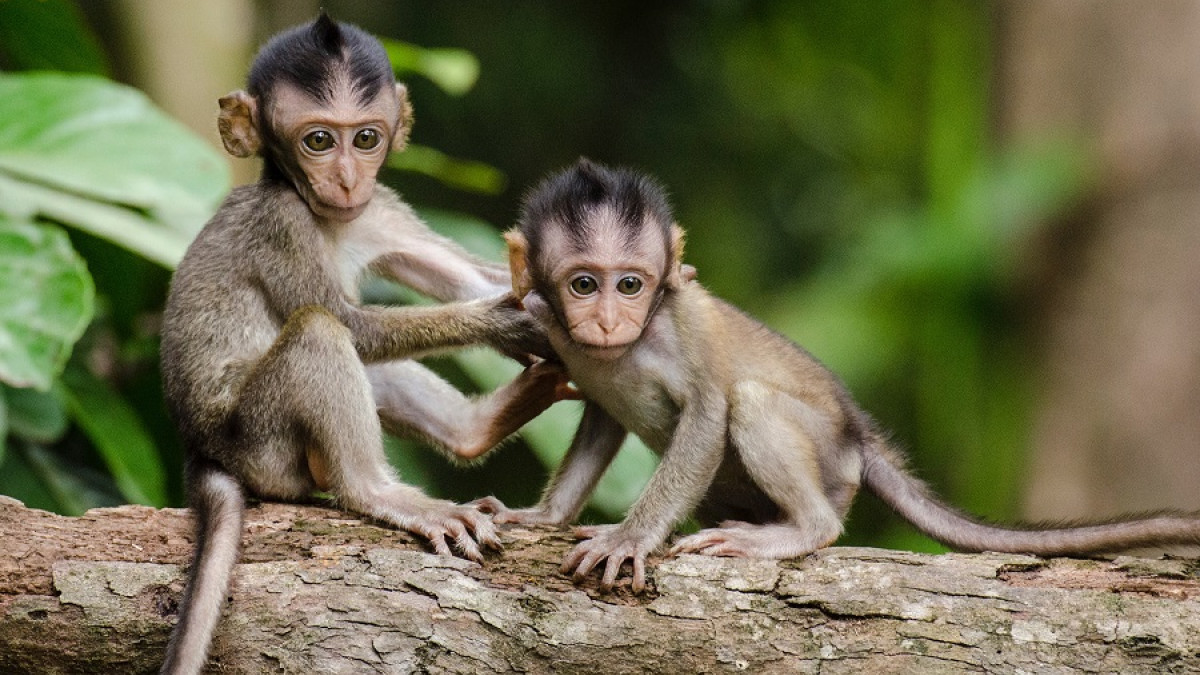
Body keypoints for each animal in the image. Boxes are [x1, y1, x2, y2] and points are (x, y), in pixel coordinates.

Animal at [156, 15, 561, 672]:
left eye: (366, 138)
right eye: (318, 141)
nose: (347, 178)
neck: (328, 217)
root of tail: (201, 451)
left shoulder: (380, 210)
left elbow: (469, 277)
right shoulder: (282, 223)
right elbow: (351, 322)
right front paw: (504, 324)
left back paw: (479, 427)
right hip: (261, 444)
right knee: (322, 331)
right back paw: (377, 491)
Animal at [472, 159, 1200, 590]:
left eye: (630, 284)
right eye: (583, 284)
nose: (606, 320)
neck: (622, 348)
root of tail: (859, 437)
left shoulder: (680, 325)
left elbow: (708, 414)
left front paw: (630, 536)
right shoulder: (556, 333)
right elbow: (599, 419)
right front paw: (542, 516)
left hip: (830, 460)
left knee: (753, 403)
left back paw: (803, 529)